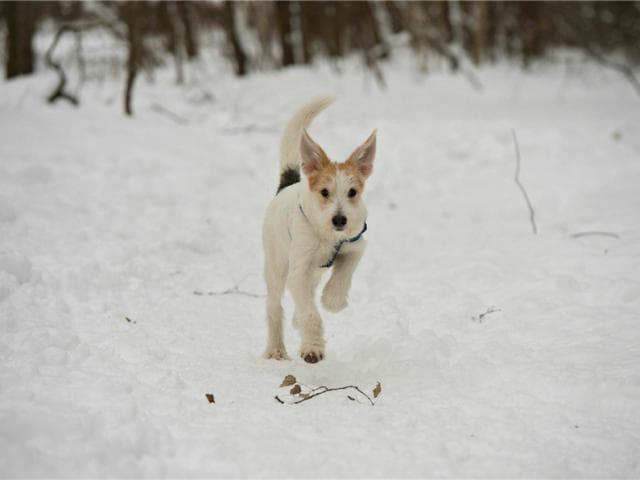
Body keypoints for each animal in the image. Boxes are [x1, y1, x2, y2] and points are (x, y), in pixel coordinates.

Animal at [262, 95, 378, 362]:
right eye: (324, 192)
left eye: (352, 192)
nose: (340, 220)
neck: (327, 236)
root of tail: (286, 186)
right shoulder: (299, 270)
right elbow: (310, 312)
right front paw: (312, 347)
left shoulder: (355, 246)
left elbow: (343, 273)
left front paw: (332, 299)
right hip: (276, 266)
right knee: (274, 307)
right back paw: (276, 349)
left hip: (313, 270)